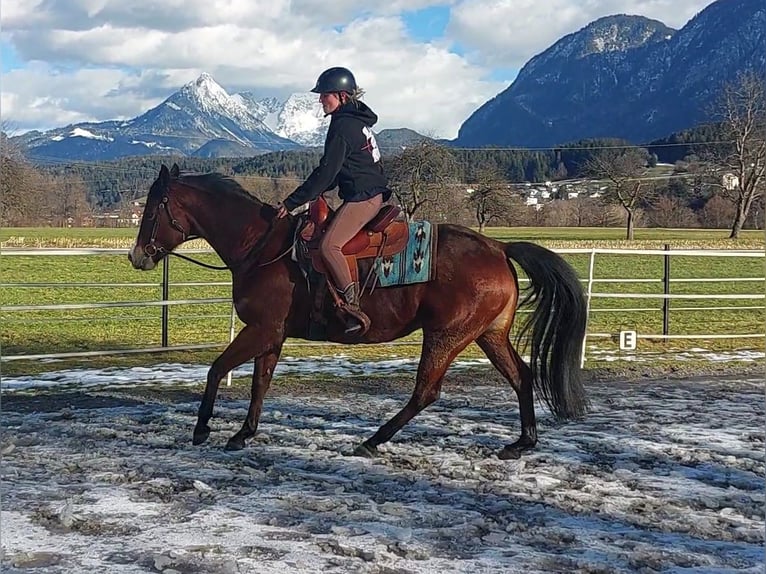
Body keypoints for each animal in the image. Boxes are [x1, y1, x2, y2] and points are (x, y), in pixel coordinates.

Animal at [129, 164, 592, 462]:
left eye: (151, 210)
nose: (137, 256)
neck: (263, 246)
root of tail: (498, 246)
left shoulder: (260, 330)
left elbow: (215, 370)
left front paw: (202, 428)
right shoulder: (272, 335)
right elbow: (260, 384)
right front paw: (244, 433)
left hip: (446, 336)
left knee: (426, 392)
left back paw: (373, 440)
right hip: (488, 334)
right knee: (521, 376)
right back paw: (522, 443)